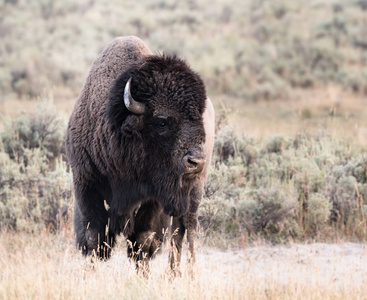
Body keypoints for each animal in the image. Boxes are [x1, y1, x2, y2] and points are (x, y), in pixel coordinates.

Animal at [66, 36, 216, 274]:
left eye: (197, 119)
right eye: (162, 121)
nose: (196, 162)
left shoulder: (152, 199)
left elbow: (142, 241)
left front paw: (142, 276)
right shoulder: (86, 185)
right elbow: (94, 237)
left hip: (194, 190)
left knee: (188, 227)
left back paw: (188, 274)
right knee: (178, 230)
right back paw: (172, 274)